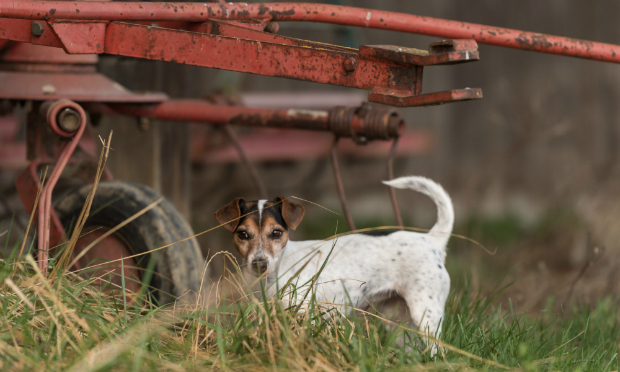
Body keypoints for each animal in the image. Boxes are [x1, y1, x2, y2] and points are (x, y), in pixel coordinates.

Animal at [216, 176, 452, 348]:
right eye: (243, 234)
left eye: (276, 233)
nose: (260, 263)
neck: (276, 275)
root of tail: (431, 239)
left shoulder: (306, 320)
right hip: (397, 319)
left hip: (426, 315)